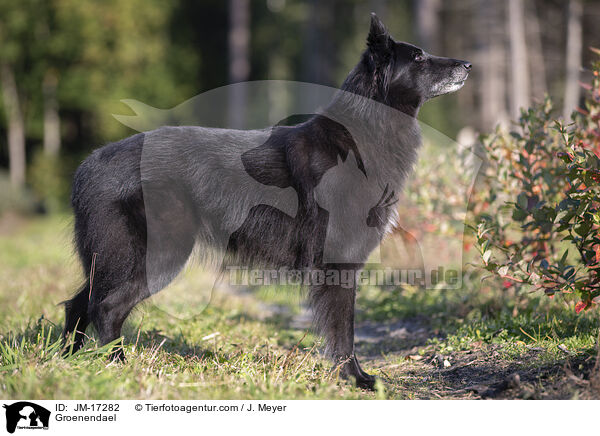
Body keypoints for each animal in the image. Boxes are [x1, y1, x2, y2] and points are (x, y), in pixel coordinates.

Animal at [63, 13, 472, 390]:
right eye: (418, 58)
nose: (468, 65)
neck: (363, 135)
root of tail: (90, 163)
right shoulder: (338, 264)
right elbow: (344, 333)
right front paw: (356, 380)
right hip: (158, 255)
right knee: (106, 308)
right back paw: (118, 367)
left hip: (113, 259)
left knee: (80, 303)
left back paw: (68, 361)